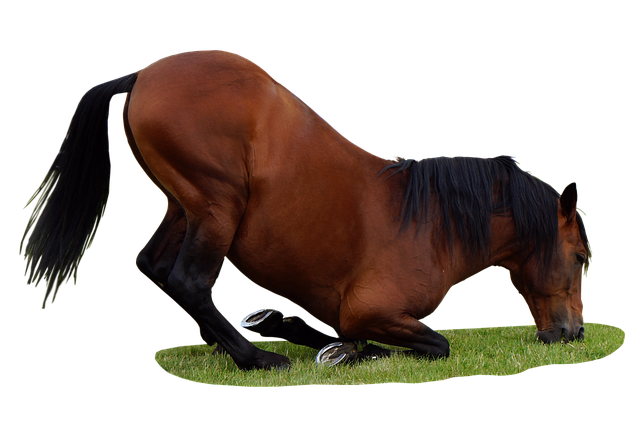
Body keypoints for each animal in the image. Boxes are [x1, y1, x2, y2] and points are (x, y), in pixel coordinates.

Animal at [20, 49, 592, 370]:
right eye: (582, 258)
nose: (575, 333)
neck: (429, 224)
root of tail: (141, 75)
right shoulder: (373, 311)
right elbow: (432, 343)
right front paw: (344, 351)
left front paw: (281, 324)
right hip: (218, 206)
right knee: (187, 280)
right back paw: (255, 358)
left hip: (186, 207)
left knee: (156, 265)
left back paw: (225, 344)